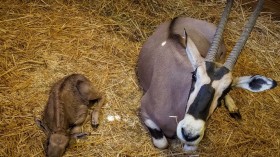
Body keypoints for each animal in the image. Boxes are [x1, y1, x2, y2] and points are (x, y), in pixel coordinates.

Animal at [137, 0, 276, 151]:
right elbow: (162, 143)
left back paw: (233, 109)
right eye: (194, 76)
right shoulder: (144, 110)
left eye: (227, 89)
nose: (189, 133)